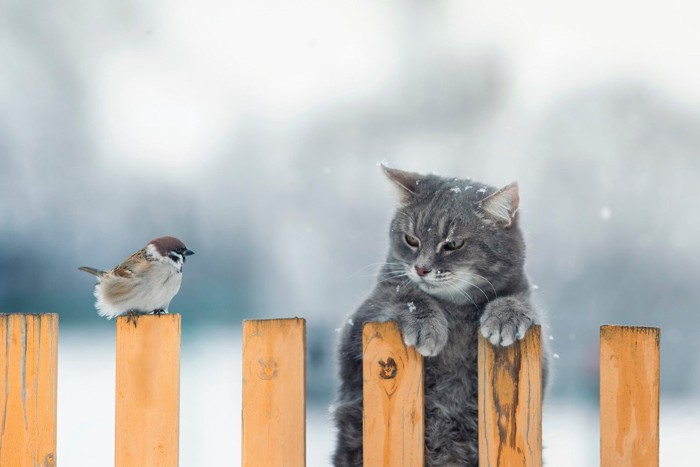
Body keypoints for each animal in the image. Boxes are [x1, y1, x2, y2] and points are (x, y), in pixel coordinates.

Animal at [330, 166, 548, 466]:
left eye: (453, 244)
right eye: (411, 240)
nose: (421, 268)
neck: (455, 308)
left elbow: (518, 301)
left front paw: (506, 316)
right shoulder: (360, 321)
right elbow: (405, 294)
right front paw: (427, 326)